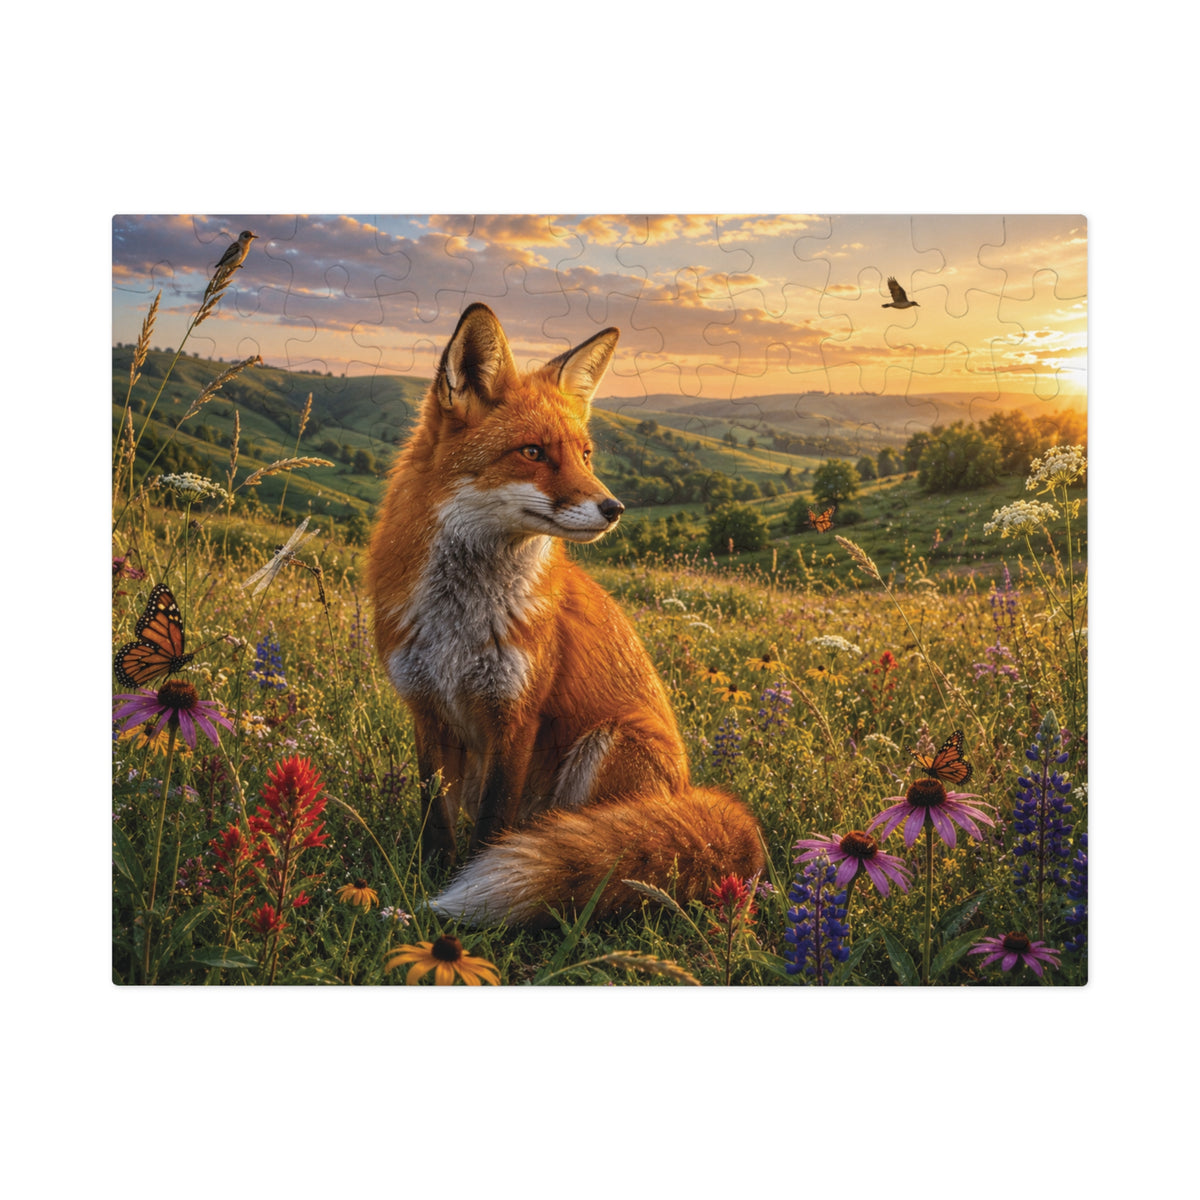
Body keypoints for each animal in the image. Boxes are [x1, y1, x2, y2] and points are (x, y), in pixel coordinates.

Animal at [368, 303, 764, 927]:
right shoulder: (426, 707)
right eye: (532, 452)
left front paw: (463, 884)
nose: (615, 508)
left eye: (585, 454)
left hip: (608, 743)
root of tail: (687, 793)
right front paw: (426, 878)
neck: (459, 620)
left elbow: (490, 825)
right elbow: (436, 819)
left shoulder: (516, 713)